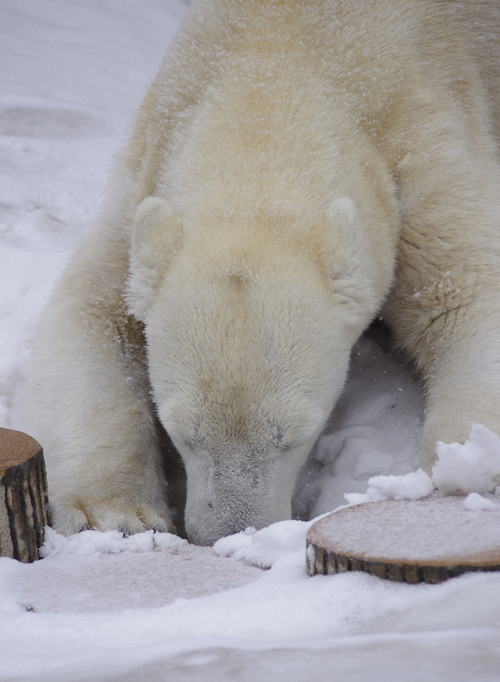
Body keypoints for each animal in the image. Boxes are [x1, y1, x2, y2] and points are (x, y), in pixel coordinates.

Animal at [29, 0, 500, 540]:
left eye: (296, 435)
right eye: (182, 432)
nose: (228, 532)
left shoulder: (425, 139)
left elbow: (466, 294)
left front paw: (463, 470)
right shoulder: (150, 165)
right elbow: (94, 311)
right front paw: (117, 515)